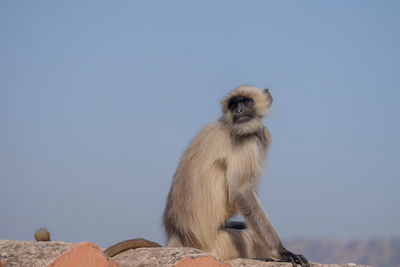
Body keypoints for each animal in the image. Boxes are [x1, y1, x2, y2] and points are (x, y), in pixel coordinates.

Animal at [104, 86, 310, 267]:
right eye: (233, 105)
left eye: (245, 101)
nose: (239, 110)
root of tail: (179, 237)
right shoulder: (246, 140)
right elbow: (241, 191)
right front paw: (283, 251)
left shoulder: (262, 134)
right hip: (219, 245)